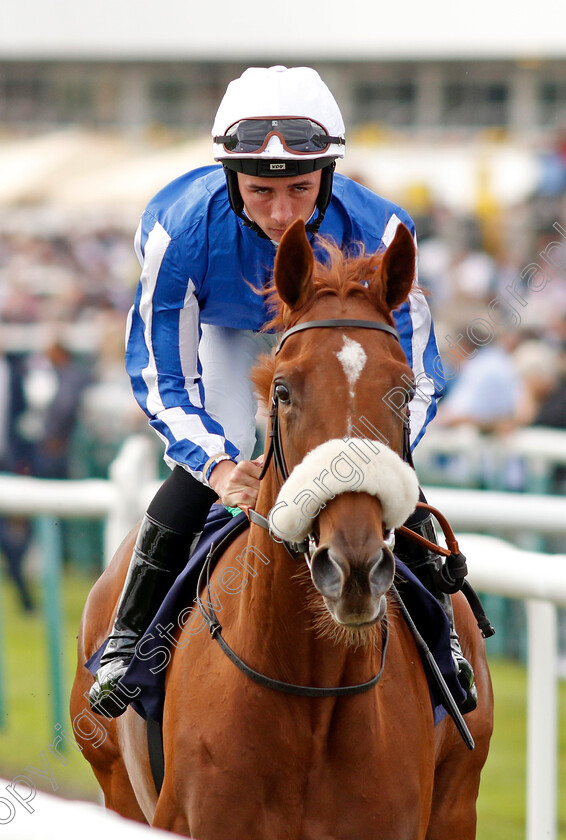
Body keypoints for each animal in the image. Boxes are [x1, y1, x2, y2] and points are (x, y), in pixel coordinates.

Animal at [71, 220, 494, 836]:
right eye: (283, 390)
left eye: (403, 392)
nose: (354, 567)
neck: (311, 685)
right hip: (115, 785)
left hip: (459, 800)